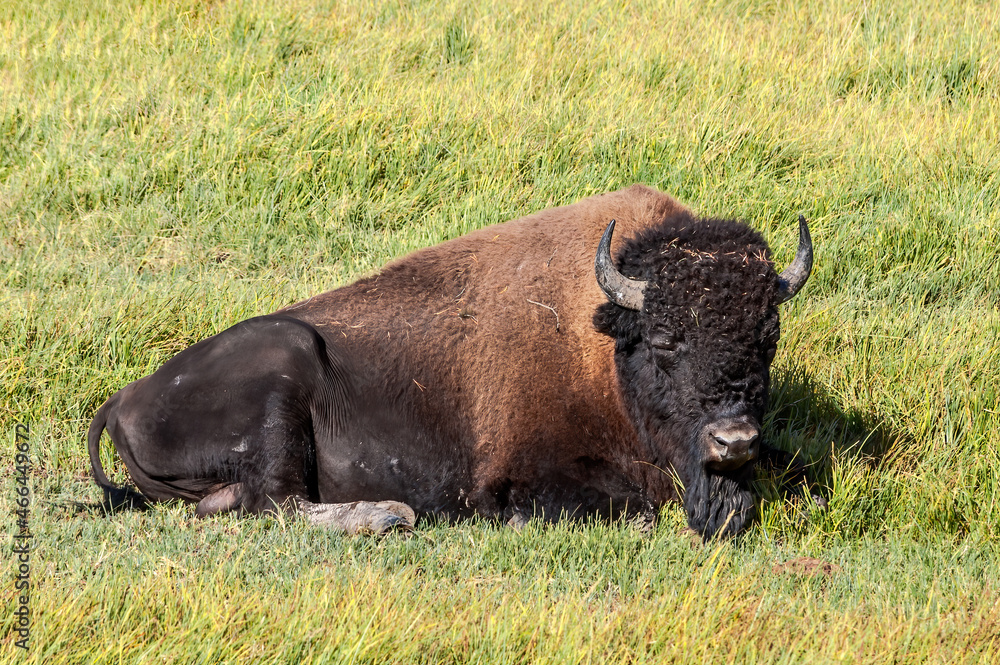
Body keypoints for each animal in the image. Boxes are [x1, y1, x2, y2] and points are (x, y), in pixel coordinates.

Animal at [88, 184, 812, 536]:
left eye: (769, 337)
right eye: (665, 341)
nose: (733, 440)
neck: (606, 343)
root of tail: (123, 399)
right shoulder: (526, 475)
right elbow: (630, 505)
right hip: (284, 367)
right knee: (278, 503)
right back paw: (387, 515)